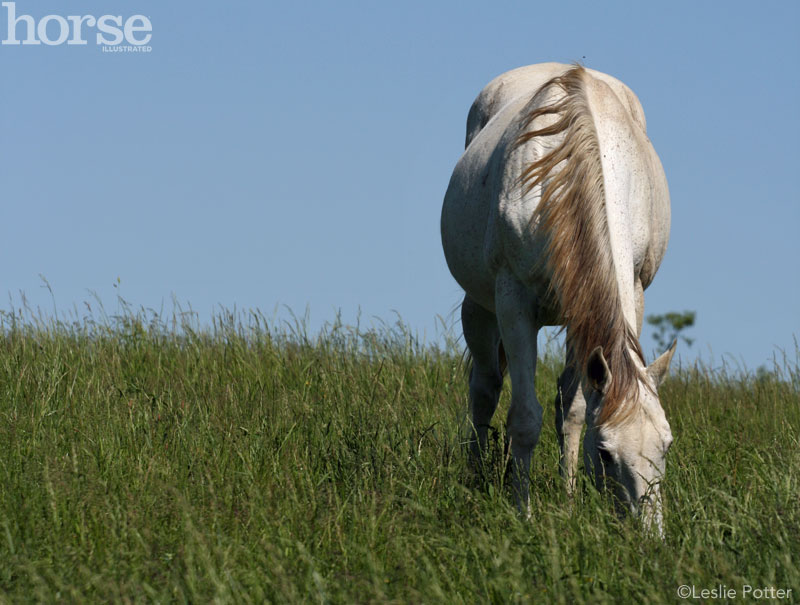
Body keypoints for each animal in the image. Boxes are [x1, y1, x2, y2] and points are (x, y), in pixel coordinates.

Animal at [440, 62, 680, 532]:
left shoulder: (614, 297)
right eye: (605, 454)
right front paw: (524, 513)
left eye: (666, 445)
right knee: (485, 388)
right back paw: (475, 476)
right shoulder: (513, 302)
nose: (649, 536)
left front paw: (569, 504)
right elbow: (524, 418)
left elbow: (573, 409)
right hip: (478, 306)